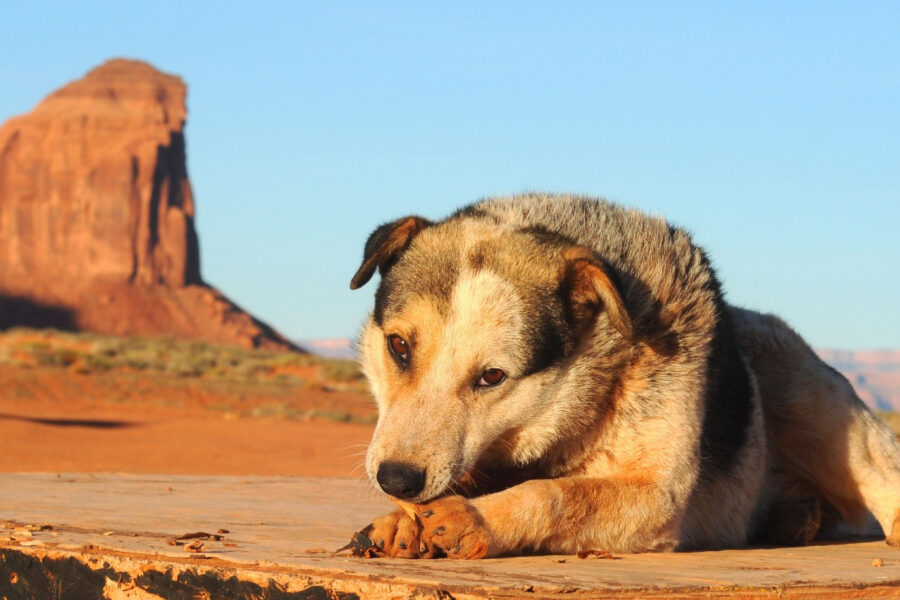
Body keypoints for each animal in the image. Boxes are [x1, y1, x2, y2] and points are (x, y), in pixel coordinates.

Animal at [346, 195, 900, 560]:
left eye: (491, 376)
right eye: (398, 347)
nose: (395, 477)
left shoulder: (659, 495)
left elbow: (559, 493)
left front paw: (478, 517)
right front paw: (401, 521)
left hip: (805, 390)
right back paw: (795, 516)